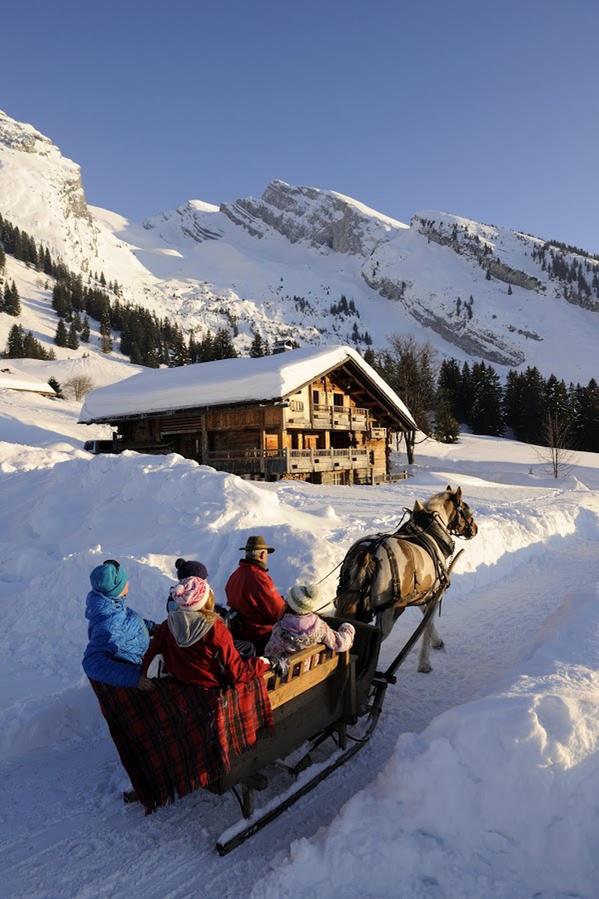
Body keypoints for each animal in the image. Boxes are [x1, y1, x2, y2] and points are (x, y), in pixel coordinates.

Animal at [332, 488, 478, 672]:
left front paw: (437, 642)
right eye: (468, 511)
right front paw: (424, 662)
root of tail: (368, 553)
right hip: (391, 611)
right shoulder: (434, 594)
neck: (431, 533)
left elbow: (426, 621)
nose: (475, 529)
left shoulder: (423, 593)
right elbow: (426, 624)